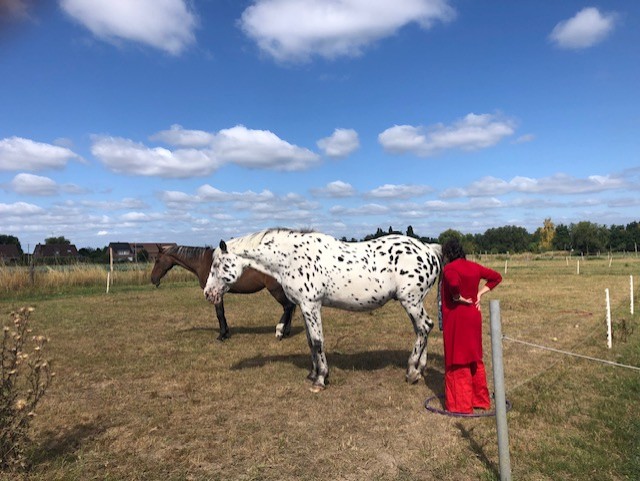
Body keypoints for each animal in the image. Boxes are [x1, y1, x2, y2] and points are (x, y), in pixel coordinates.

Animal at [150, 244, 296, 341]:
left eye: (157, 260)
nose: (153, 279)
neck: (204, 262)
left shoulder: (215, 293)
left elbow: (219, 314)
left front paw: (221, 335)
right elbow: (222, 313)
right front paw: (226, 333)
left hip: (275, 290)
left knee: (288, 307)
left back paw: (280, 332)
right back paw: (287, 332)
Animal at [204, 228, 442, 392]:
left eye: (217, 265)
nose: (208, 293)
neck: (290, 258)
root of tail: (429, 250)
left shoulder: (311, 305)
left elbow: (318, 341)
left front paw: (320, 379)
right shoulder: (304, 306)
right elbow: (310, 341)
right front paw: (313, 373)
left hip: (411, 301)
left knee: (424, 327)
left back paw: (411, 372)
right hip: (413, 303)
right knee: (422, 330)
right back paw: (420, 370)